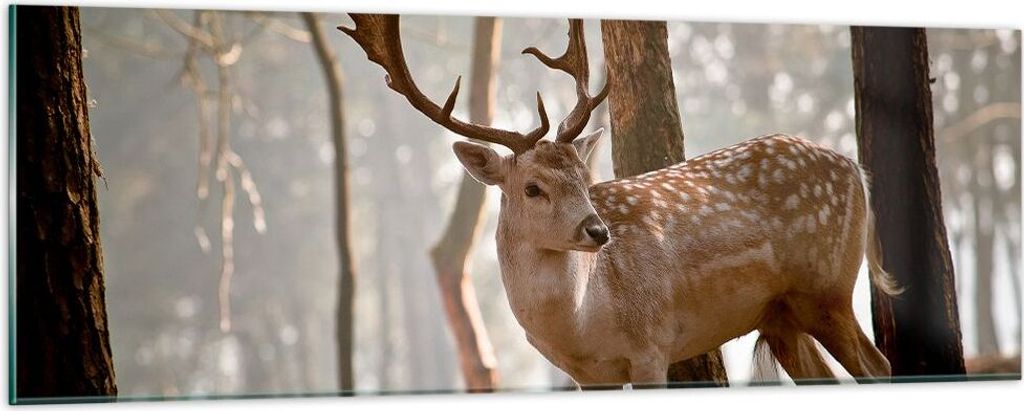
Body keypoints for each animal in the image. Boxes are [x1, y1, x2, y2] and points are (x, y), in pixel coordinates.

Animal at [340, 14, 901, 388]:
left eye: (585, 177)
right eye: (532, 187)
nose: (598, 231)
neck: (581, 324)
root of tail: (856, 169)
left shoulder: (652, 345)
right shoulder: (586, 374)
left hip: (825, 286)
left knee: (879, 366)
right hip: (781, 313)